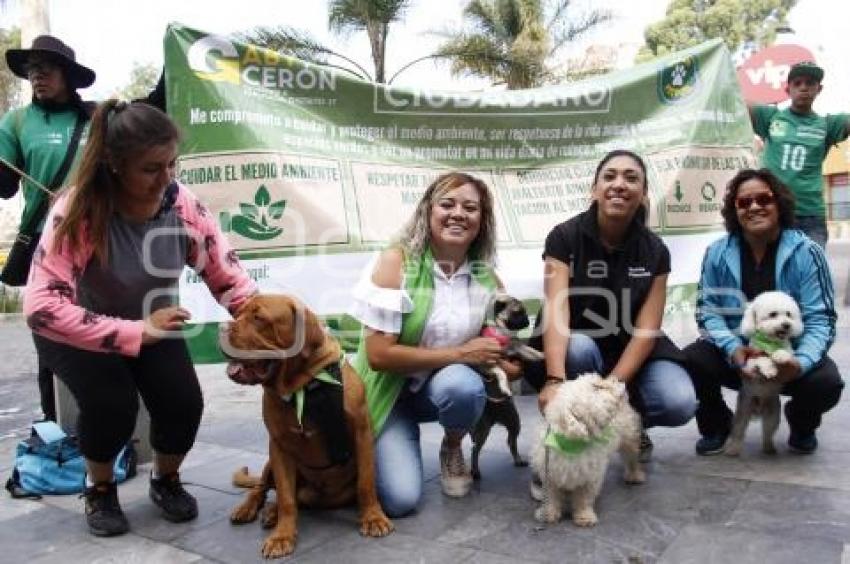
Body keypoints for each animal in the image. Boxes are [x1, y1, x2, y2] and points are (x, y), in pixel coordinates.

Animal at [219, 296, 390, 560]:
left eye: (259, 318)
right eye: (238, 314)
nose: (221, 328)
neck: (303, 387)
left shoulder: (362, 433)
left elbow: (366, 482)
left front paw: (373, 517)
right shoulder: (278, 446)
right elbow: (287, 498)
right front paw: (282, 536)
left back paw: (271, 512)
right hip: (270, 463)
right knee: (263, 488)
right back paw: (254, 509)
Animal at [470, 296, 544, 480]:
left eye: (524, 312)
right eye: (517, 312)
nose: (527, 321)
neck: (502, 333)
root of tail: (496, 418)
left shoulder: (515, 347)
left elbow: (527, 350)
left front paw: (541, 355)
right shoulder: (488, 363)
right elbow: (501, 371)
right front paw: (504, 385)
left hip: (514, 422)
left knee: (511, 442)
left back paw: (517, 459)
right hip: (483, 430)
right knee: (475, 449)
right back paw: (475, 470)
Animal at [528, 372, 644, 528]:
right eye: (596, 387)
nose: (617, 379)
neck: (572, 445)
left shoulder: (590, 476)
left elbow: (584, 498)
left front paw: (584, 516)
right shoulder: (550, 474)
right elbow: (552, 497)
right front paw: (548, 513)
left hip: (629, 437)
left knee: (631, 458)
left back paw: (634, 475)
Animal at [724, 288, 800, 456]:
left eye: (788, 314)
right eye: (773, 314)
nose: (786, 325)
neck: (770, 343)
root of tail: (758, 408)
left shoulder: (790, 353)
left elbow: (785, 352)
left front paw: (779, 356)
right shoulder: (752, 359)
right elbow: (762, 359)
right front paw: (769, 369)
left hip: (773, 415)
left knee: (768, 433)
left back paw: (769, 448)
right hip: (742, 412)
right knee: (738, 432)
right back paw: (733, 449)